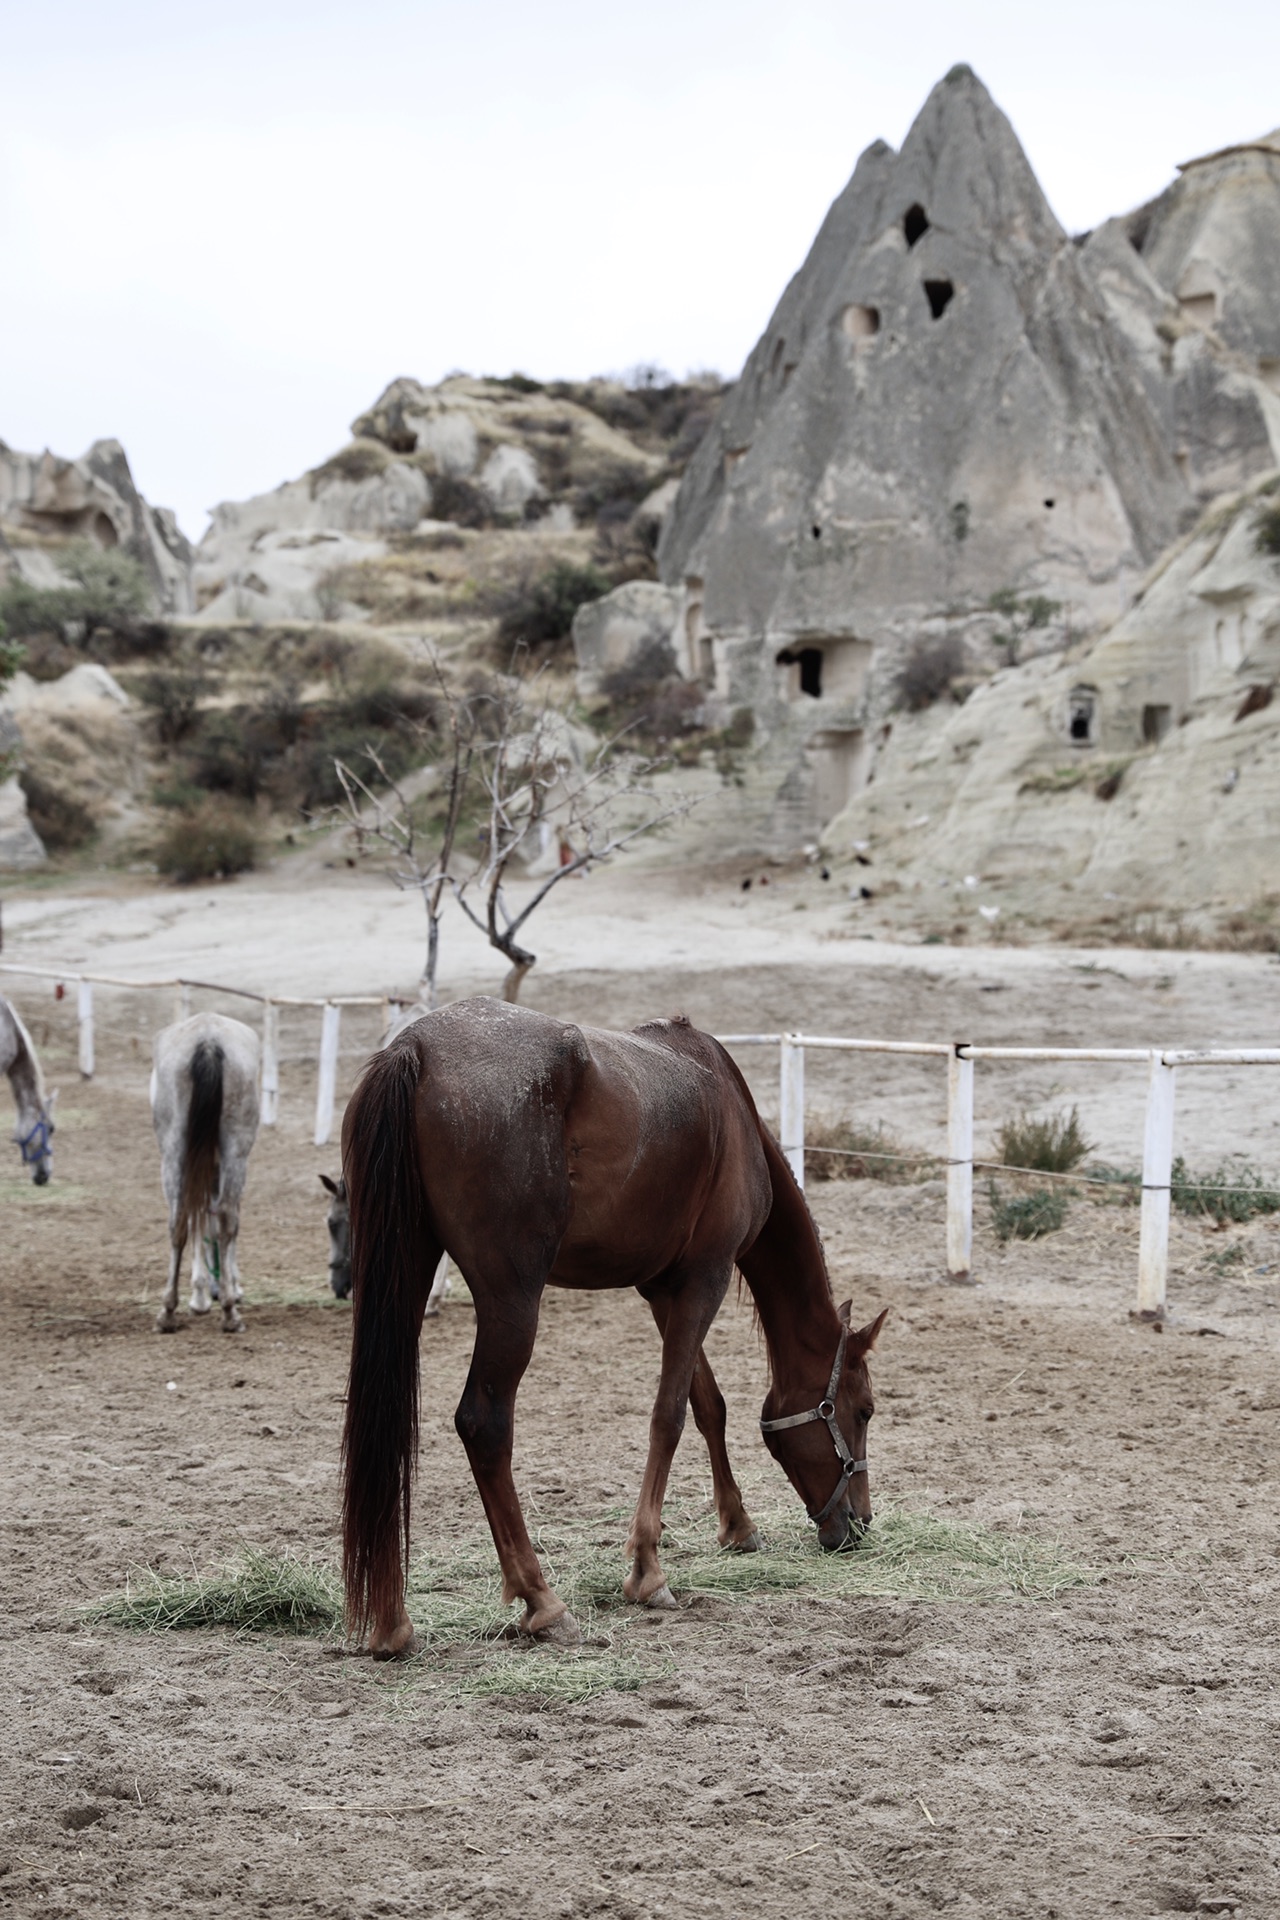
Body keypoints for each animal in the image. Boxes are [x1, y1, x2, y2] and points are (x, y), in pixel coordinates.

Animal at [150, 1006, 260, 1336]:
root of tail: (209, 1042)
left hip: (175, 1152)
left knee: (180, 1221)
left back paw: (169, 1312)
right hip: (233, 1153)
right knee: (223, 1218)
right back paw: (227, 1311)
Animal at [337, 998, 890, 1658]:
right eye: (864, 1411)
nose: (859, 1523)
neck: (729, 1111)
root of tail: (415, 1048)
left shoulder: (663, 1291)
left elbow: (708, 1405)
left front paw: (737, 1525)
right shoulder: (704, 1279)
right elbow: (668, 1416)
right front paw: (648, 1570)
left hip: (405, 1270)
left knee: (384, 1422)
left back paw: (391, 1621)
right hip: (511, 1301)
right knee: (483, 1424)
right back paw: (542, 1601)